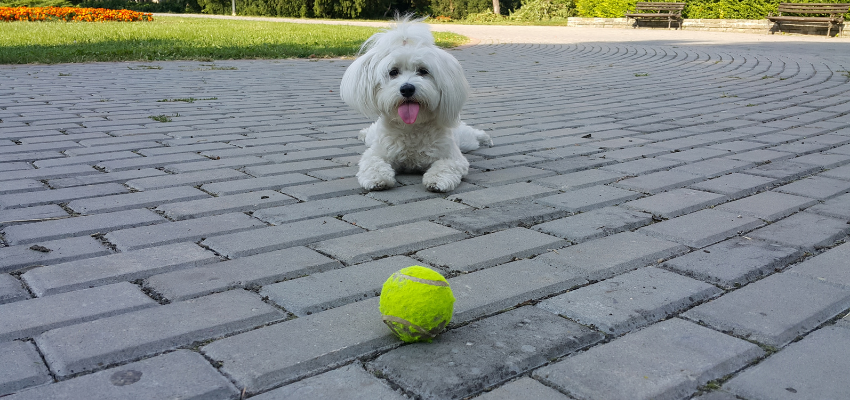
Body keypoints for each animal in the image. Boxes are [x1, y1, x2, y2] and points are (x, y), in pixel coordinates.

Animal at [342, 17, 494, 194]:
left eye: (423, 71)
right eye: (393, 72)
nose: (407, 88)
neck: (411, 128)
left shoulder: (452, 156)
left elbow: (445, 166)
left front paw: (436, 180)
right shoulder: (376, 152)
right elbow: (373, 164)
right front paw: (377, 179)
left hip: (465, 140)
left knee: (473, 134)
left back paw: (485, 137)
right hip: (373, 138)